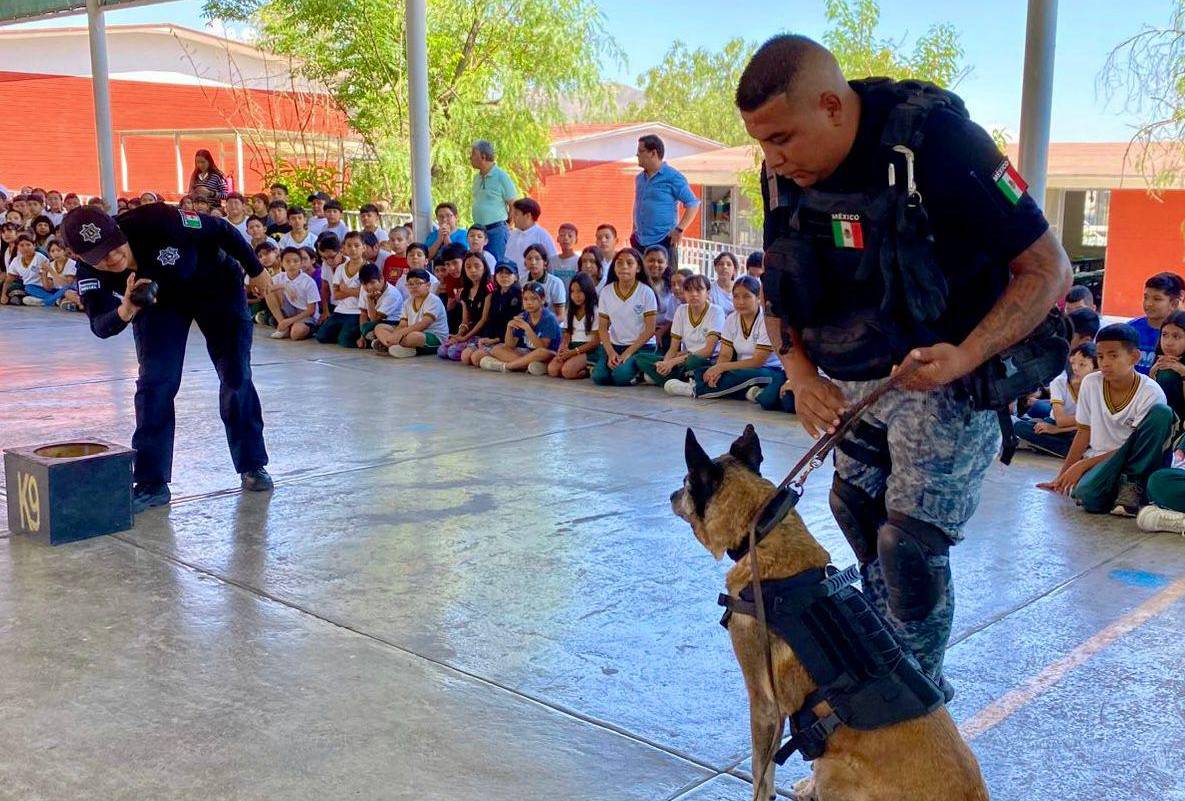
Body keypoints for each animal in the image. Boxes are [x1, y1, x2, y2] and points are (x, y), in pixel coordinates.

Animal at [671, 425, 989, 801]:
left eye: (686, 483)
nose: (671, 495)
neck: (761, 532)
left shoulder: (764, 704)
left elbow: (762, 773)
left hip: (832, 767)